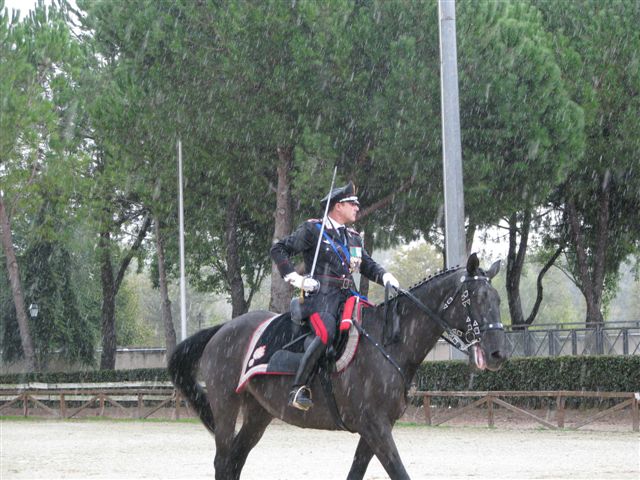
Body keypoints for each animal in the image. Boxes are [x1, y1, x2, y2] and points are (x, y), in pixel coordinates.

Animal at [169, 253, 508, 480]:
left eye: (497, 299)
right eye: (475, 297)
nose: (497, 352)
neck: (388, 342)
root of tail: (223, 329)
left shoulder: (375, 429)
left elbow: (355, 474)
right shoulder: (375, 426)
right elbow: (399, 473)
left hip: (258, 413)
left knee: (236, 460)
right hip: (226, 405)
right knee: (223, 460)